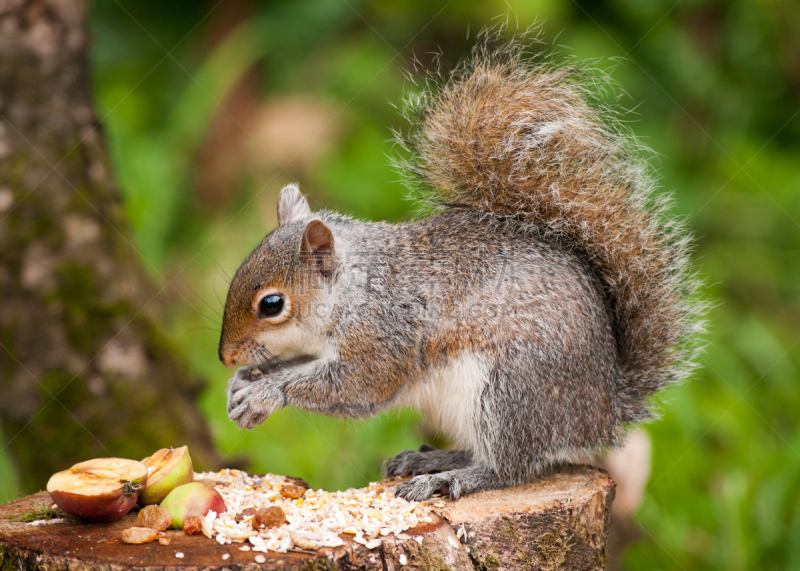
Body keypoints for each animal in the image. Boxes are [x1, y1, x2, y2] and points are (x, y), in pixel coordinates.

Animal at [216, 39, 704, 500]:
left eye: (272, 304)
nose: (226, 357)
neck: (353, 290)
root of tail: (602, 410)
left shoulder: (384, 336)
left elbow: (357, 386)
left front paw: (264, 392)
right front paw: (243, 384)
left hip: (509, 392)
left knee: (510, 467)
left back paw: (452, 479)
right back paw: (431, 460)